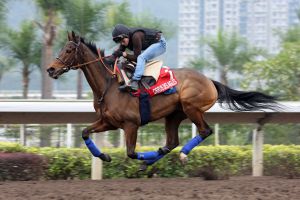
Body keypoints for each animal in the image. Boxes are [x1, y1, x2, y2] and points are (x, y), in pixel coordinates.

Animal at [47, 30, 278, 169]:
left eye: (69, 50)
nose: (51, 69)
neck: (109, 85)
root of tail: (210, 81)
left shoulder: (131, 124)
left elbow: (131, 153)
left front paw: (139, 159)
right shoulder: (109, 122)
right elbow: (85, 132)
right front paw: (104, 156)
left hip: (191, 107)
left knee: (204, 131)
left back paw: (180, 156)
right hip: (174, 115)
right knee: (171, 142)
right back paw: (154, 158)